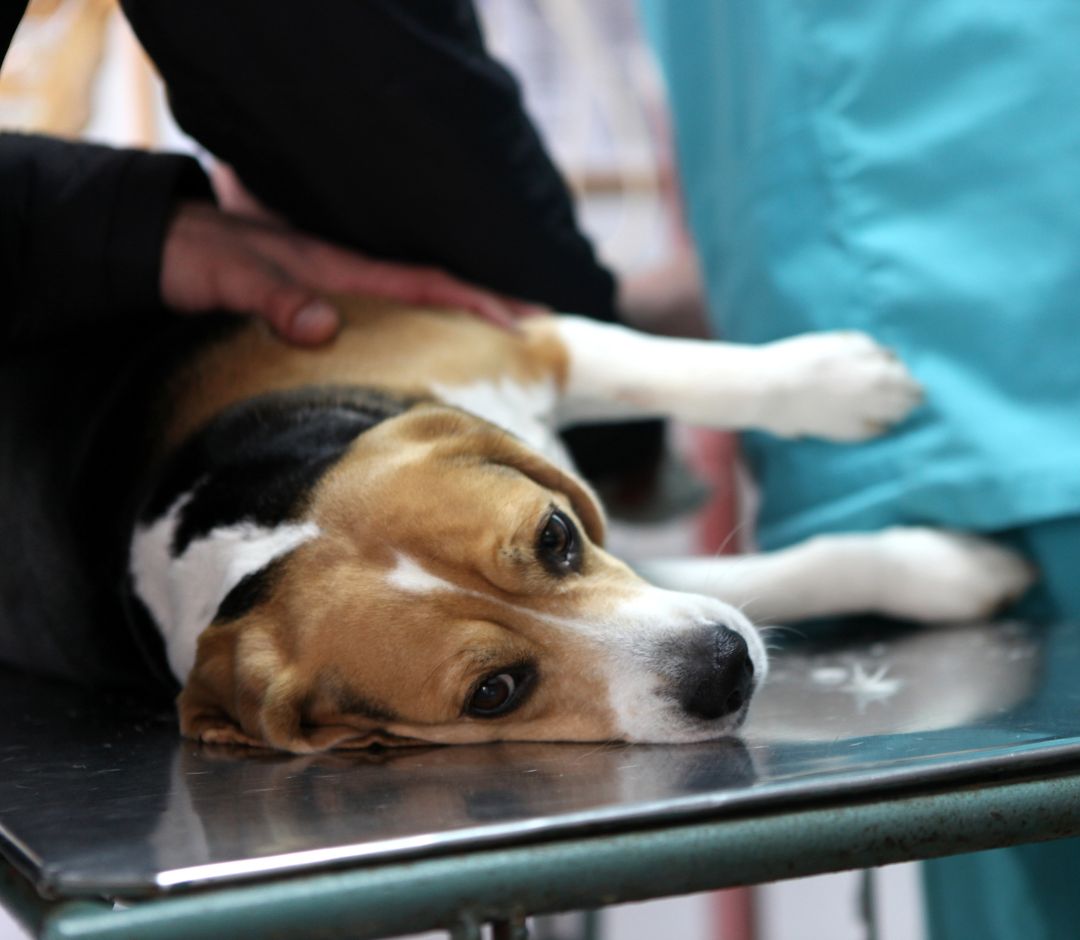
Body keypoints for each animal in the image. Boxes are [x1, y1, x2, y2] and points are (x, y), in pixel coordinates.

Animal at [128, 298, 1036, 756]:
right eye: (493, 693)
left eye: (556, 536)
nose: (727, 670)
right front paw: (953, 569)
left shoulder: (516, 343)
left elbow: (670, 367)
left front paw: (835, 382)